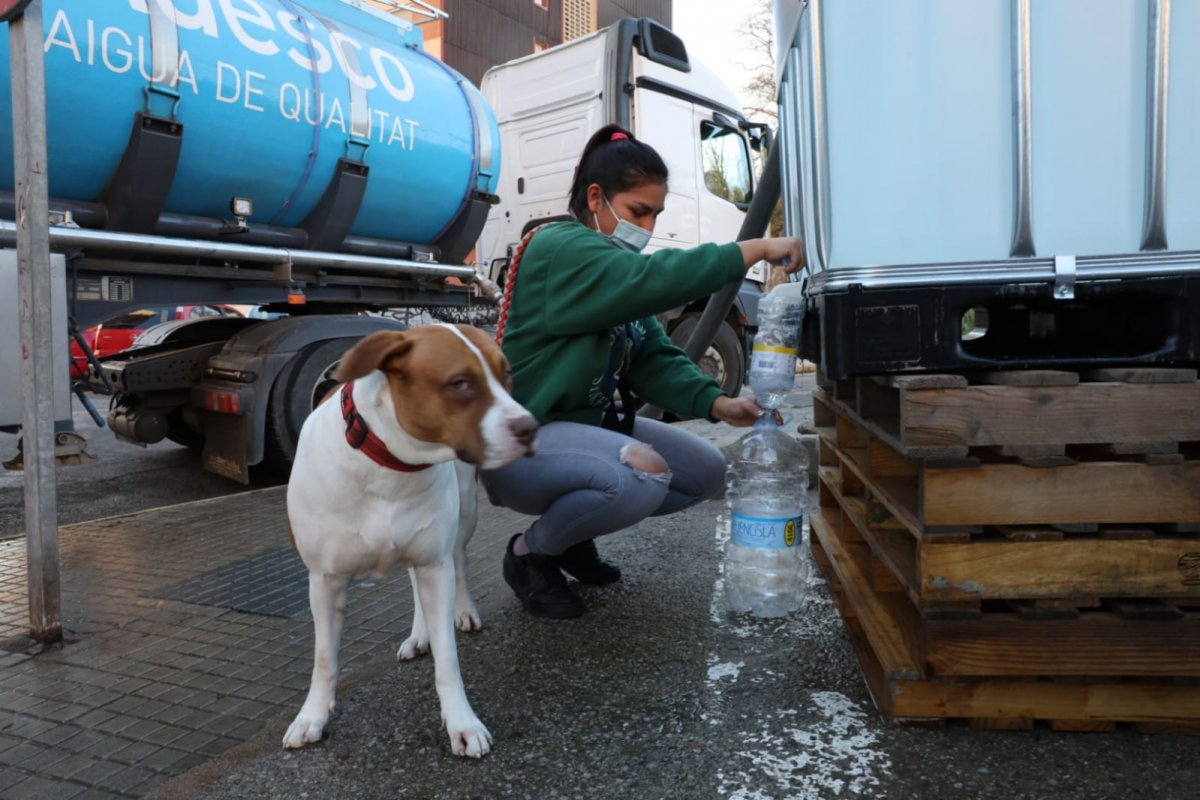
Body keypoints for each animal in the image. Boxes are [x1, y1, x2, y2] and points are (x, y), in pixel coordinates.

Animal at [280, 323, 535, 758]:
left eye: (507, 374)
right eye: (460, 383)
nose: (529, 427)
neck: (392, 465)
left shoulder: (435, 562)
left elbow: (448, 660)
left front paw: (462, 722)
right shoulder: (324, 580)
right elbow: (325, 658)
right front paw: (312, 716)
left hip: (461, 518)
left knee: (458, 561)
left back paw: (461, 612)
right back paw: (419, 635)